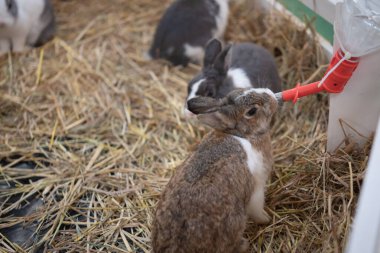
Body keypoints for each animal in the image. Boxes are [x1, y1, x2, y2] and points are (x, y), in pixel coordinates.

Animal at [151, 87, 280, 253]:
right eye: (252, 111)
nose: (271, 95)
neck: (243, 135)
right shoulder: (256, 190)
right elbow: (257, 210)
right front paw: (267, 219)